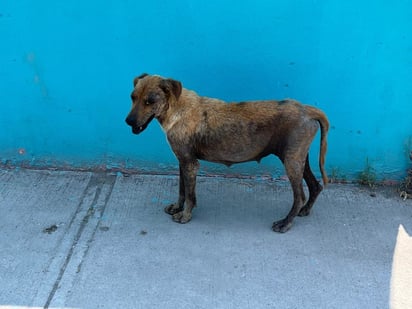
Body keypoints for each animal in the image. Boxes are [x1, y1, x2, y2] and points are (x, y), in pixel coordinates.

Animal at [125, 73, 328, 232]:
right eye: (132, 97)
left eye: (150, 101)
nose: (128, 122)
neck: (177, 108)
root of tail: (307, 110)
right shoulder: (182, 161)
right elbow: (182, 190)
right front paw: (177, 207)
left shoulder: (190, 164)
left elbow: (189, 194)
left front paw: (185, 215)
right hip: (298, 158)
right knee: (315, 185)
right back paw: (305, 210)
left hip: (292, 162)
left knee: (299, 196)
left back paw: (285, 223)